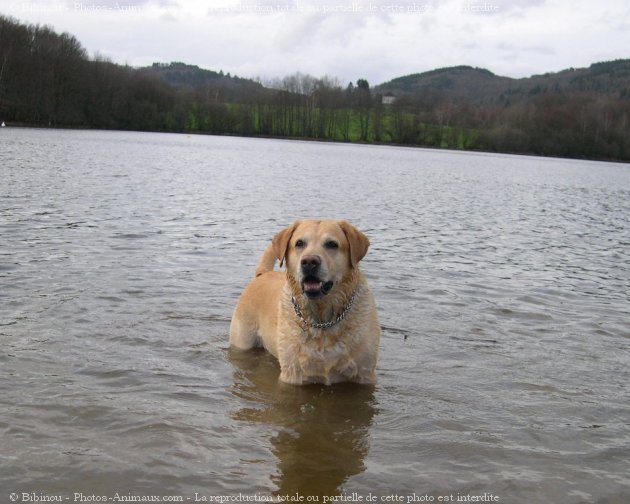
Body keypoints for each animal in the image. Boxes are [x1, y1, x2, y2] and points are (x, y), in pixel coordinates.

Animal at [231, 219, 382, 384]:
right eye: (299, 243)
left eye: (332, 244)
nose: (309, 261)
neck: (322, 320)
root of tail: (263, 274)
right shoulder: (292, 375)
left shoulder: (365, 375)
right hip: (242, 342)